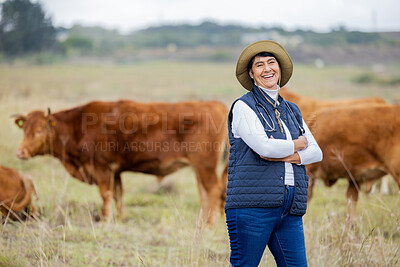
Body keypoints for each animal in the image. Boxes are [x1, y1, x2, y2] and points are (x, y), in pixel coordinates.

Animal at [14, 99, 228, 225]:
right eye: (24, 130)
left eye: (39, 131)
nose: (20, 152)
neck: (78, 126)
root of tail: (217, 104)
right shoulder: (115, 172)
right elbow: (118, 194)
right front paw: (120, 218)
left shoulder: (101, 168)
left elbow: (106, 195)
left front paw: (105, 219)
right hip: (199, 169)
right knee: (205, 194)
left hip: (206, 166)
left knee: (214, 191)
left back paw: (210, 225)